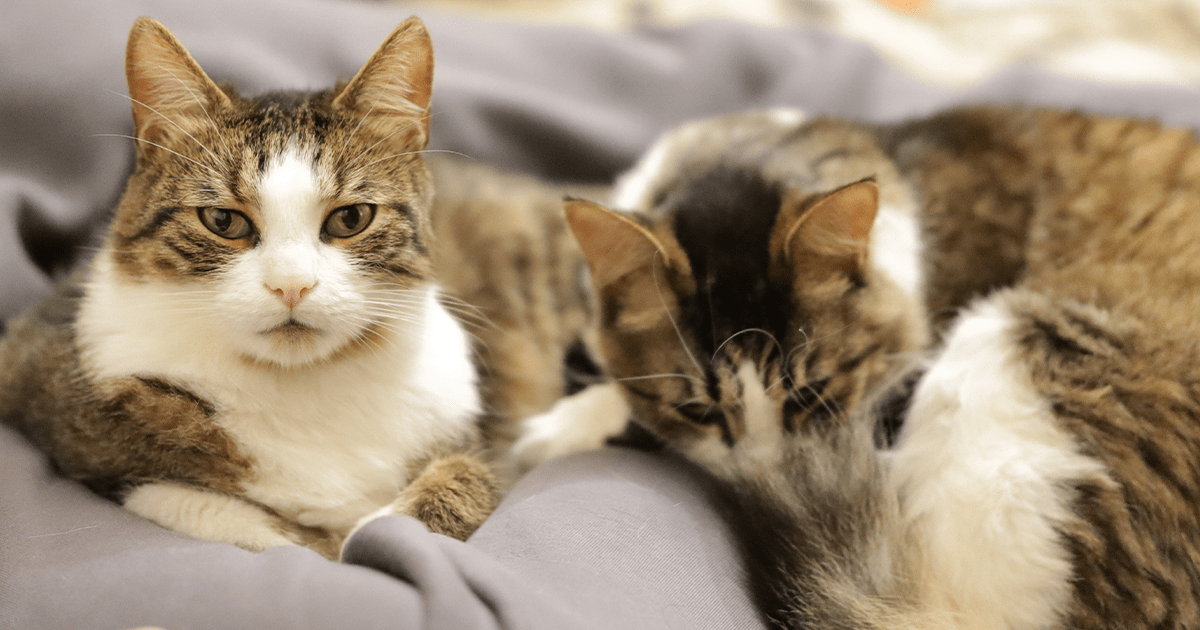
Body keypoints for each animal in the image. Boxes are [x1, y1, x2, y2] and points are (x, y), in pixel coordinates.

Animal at [0, 17, 501, 556]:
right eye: (223, 220)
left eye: (350, 219)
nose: (292, 286)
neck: (300, 385)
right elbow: (221, 514)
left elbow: (468, 480)